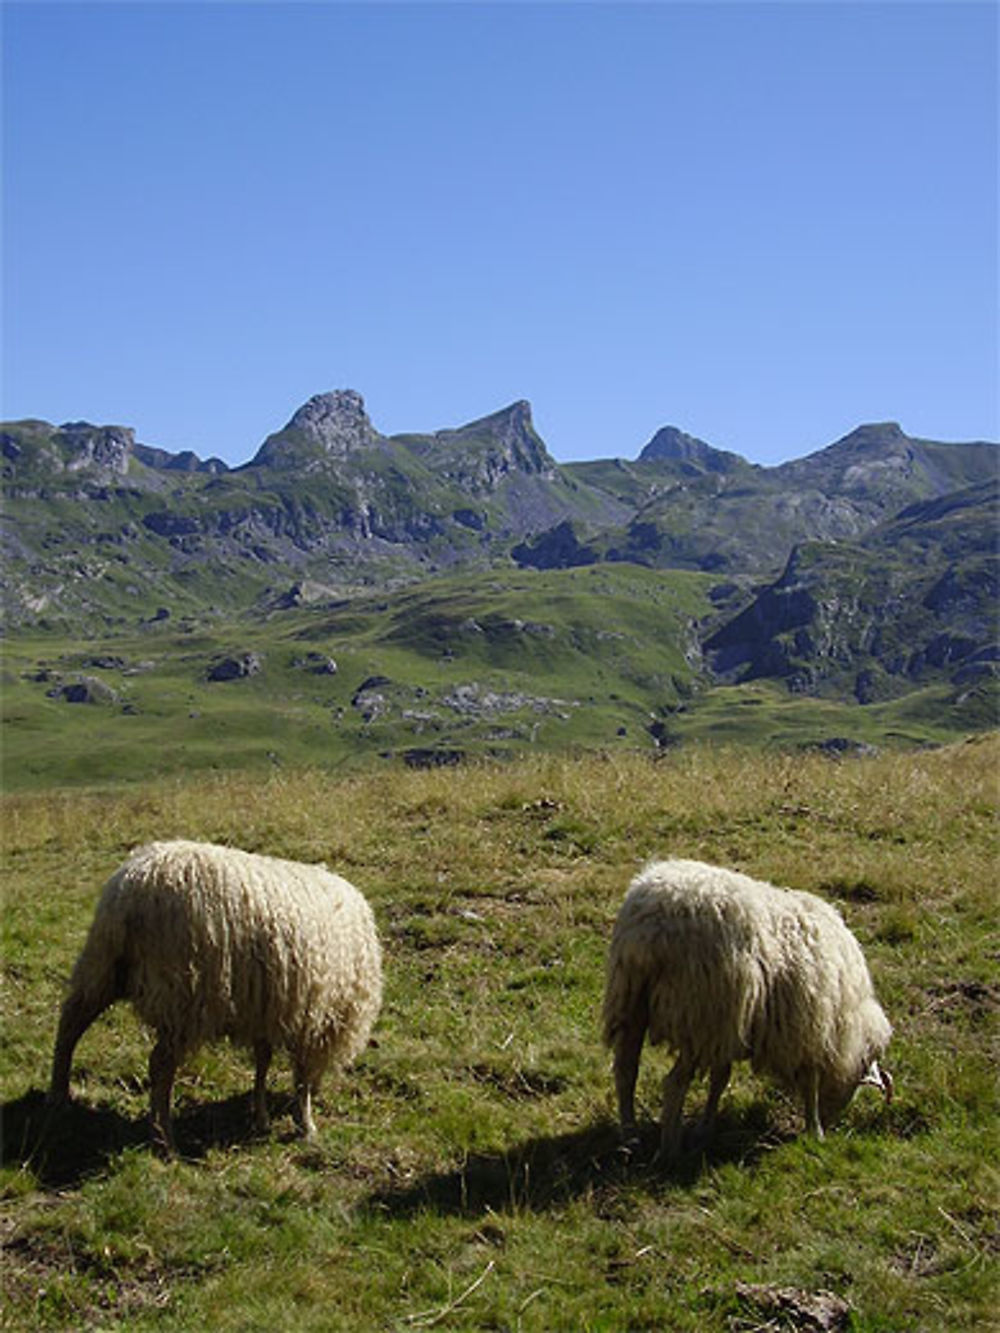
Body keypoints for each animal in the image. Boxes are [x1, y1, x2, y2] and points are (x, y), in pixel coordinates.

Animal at [47, 837, 386, 1151]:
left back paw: (59, 1096)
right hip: (182, 993)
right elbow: (300, 1076)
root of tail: (135, 883)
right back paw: (164, 1139)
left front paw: (261, 1115)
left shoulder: (267, 1008)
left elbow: (262, 1060)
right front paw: (306, 1125)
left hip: (103, 964)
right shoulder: (313, 1014)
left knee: (70, 1026)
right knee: (160, 1064)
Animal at [602, 853, 890, 1157]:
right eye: (856, 1087)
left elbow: (720, 1079)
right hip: (699, 1014)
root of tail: (651, 928)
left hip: (632, 1001)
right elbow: (810, 1084)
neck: (847, 1021)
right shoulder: (807, 1030)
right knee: (674, 1084)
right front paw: (816, 1131)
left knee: (626, 1071)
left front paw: (705, 1128)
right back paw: (670, 1150)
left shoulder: (730, 1030)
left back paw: (630, 1137)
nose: (833, 1122)